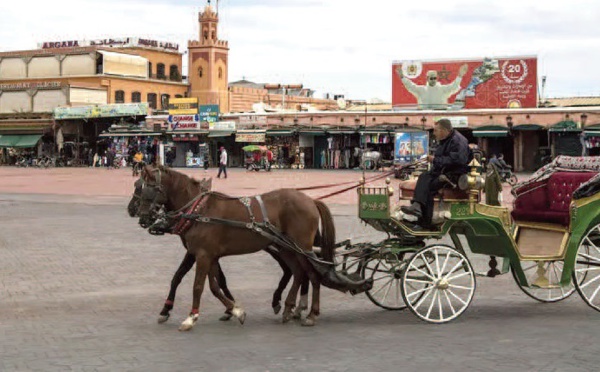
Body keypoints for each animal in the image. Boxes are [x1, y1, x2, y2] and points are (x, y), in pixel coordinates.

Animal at [136, 166, 366, 332]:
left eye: (146, 187)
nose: (140, 215)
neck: (200, 210)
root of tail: (310, 199)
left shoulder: (203, 255)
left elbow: (198, 286)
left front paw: (191, 317)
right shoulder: (208, 255)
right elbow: (214, 286)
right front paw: (235, 310)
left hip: (302, 247)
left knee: (312, 275)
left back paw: (309, 314)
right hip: (288, 249)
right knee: (300, 273)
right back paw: (290, 308)